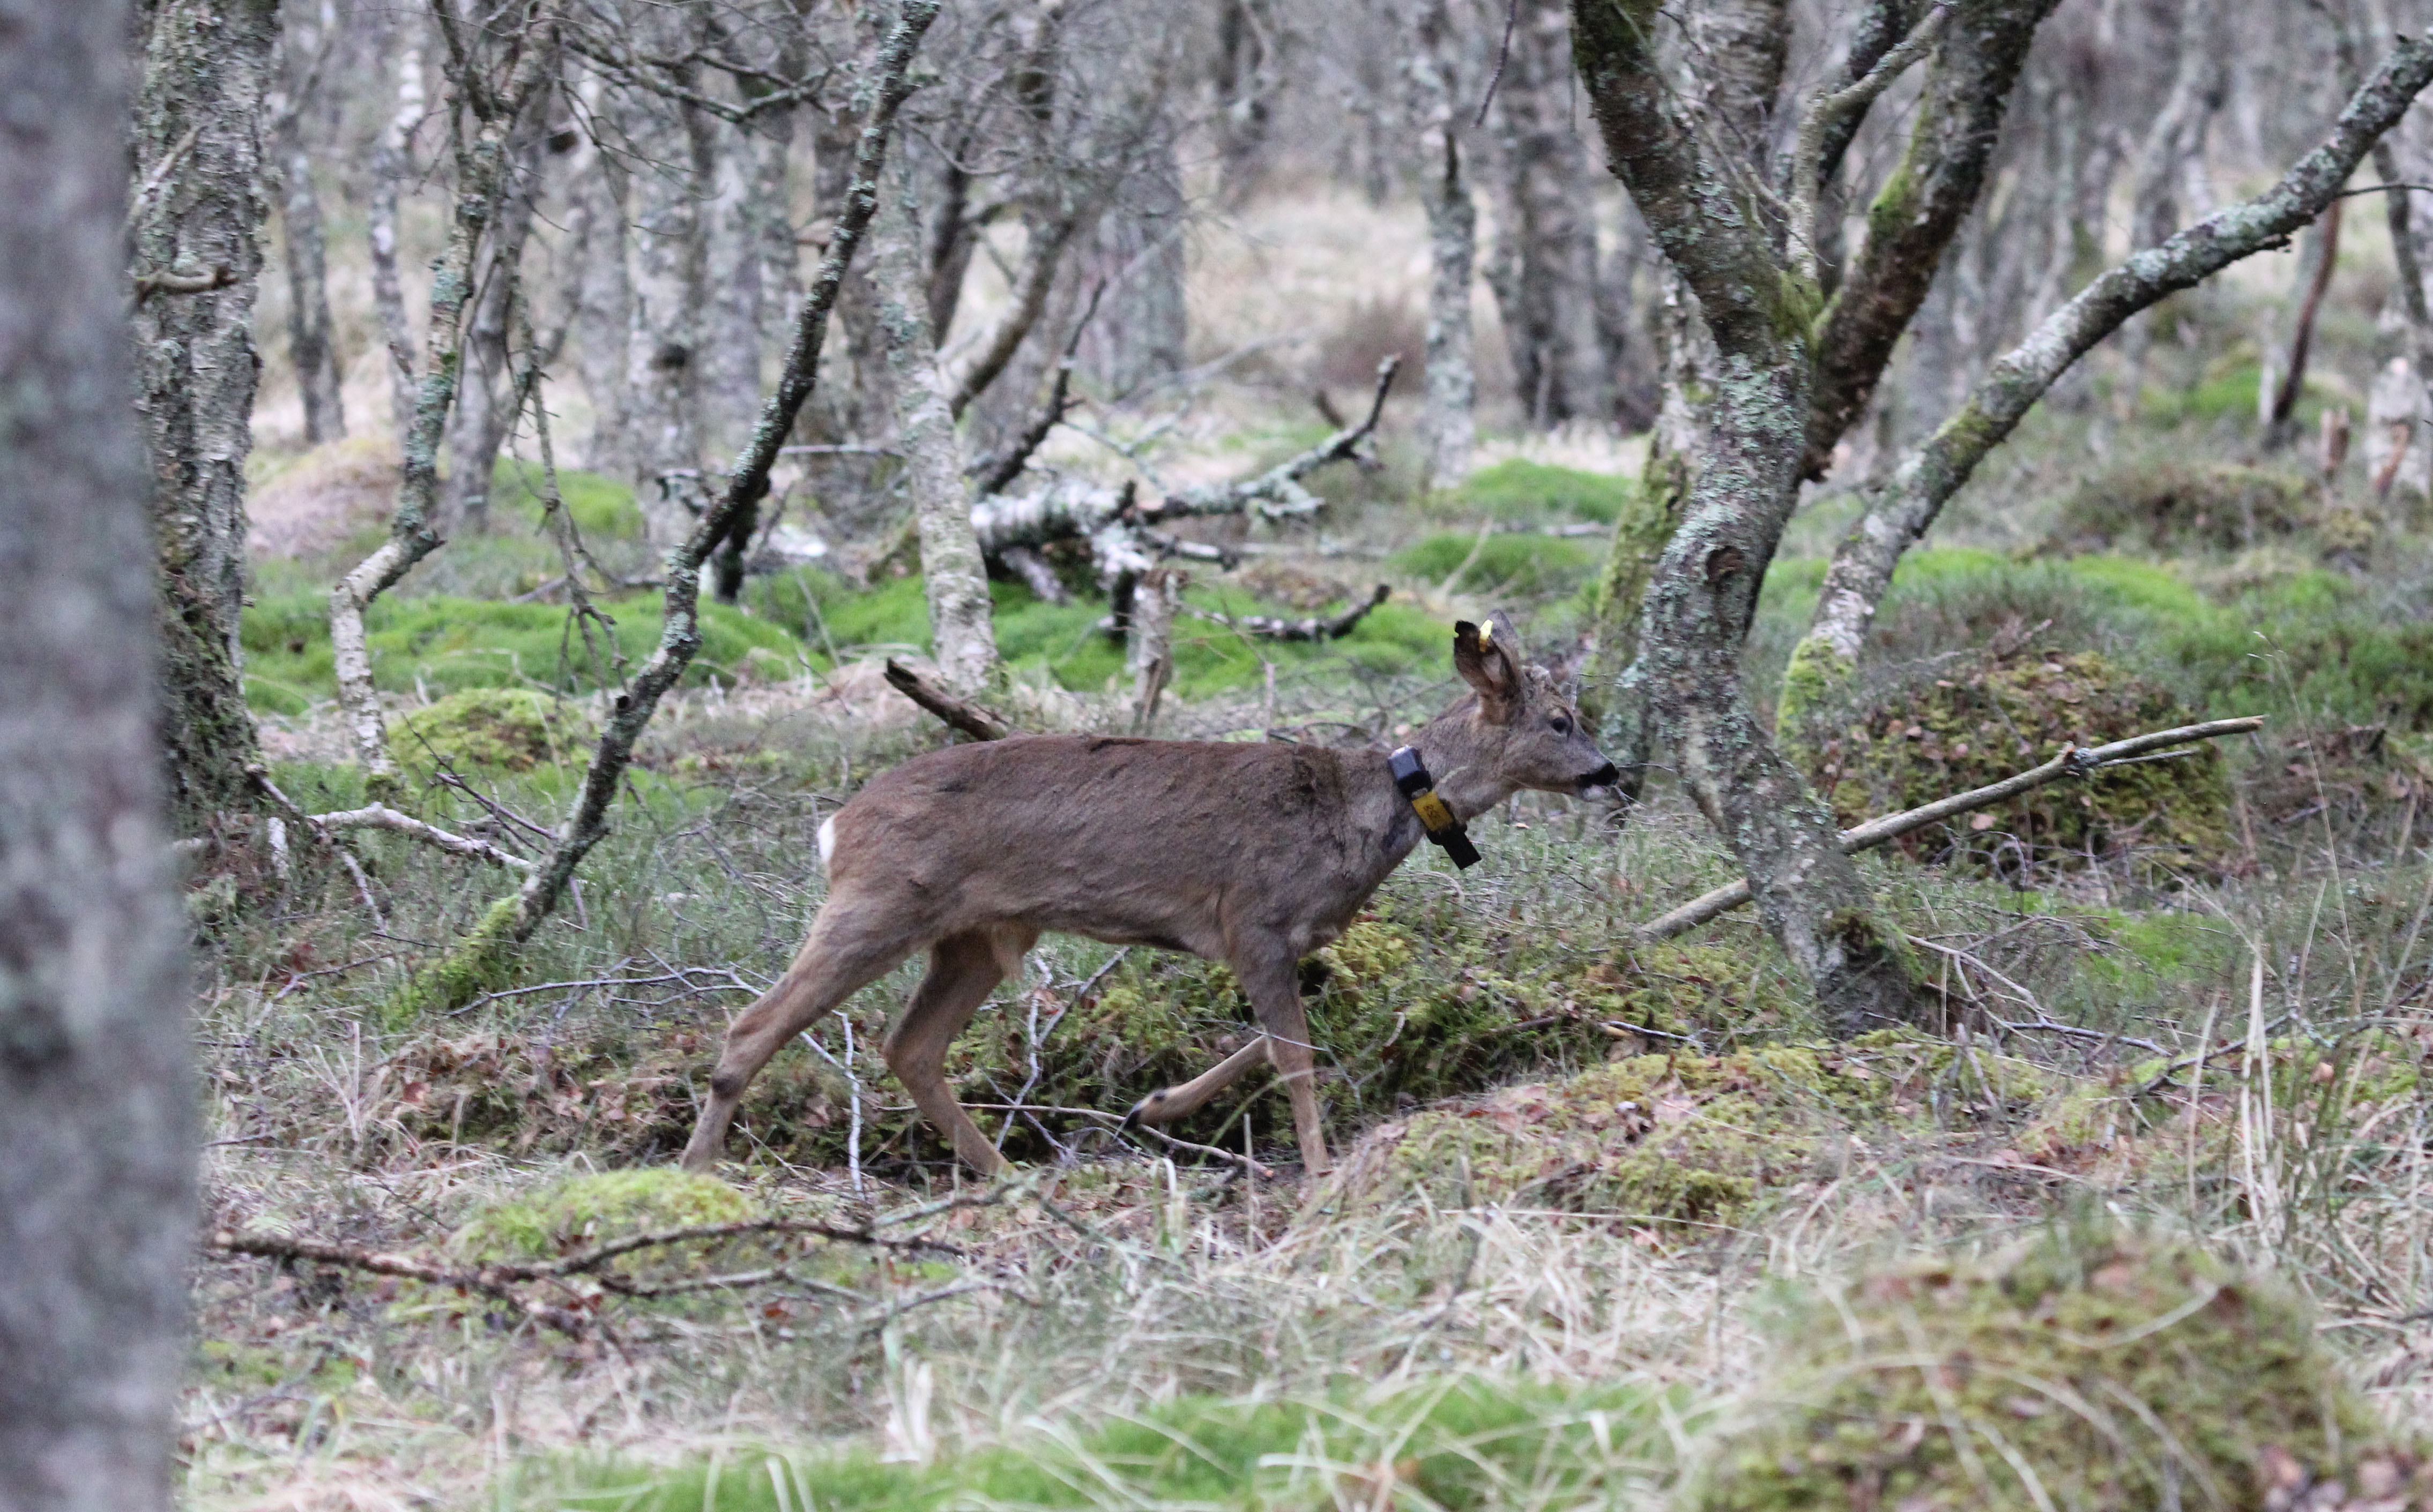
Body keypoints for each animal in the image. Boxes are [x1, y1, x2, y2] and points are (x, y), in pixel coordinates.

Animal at [679, 615, 1618, 1179]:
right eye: (1560, 721)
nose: (1611, 771)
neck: (1357, 816)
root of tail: (836, 824)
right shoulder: (1253, 916)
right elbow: (1294, 1055)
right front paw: (1319, 1172)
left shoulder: (1275, 941)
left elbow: (1273, 1040)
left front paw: (1152, 1105)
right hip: (879, 901)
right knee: (756, 1023)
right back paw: (696, 1167)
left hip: (978, 936)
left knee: (908, 1046)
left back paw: (1002, 1173)